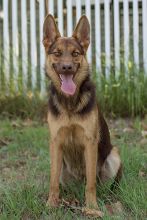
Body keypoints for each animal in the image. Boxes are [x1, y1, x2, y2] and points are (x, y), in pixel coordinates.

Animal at [42, 14, 121, 211]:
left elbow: (91, 183)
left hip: (114, 154)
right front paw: (51, 203)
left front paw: (92, 207)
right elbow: (53, 181)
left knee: (104, 183)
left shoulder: (90, 142)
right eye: (57, 53)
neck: (70, 103)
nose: (67, 67)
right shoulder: (55, 142)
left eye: (75, 54)